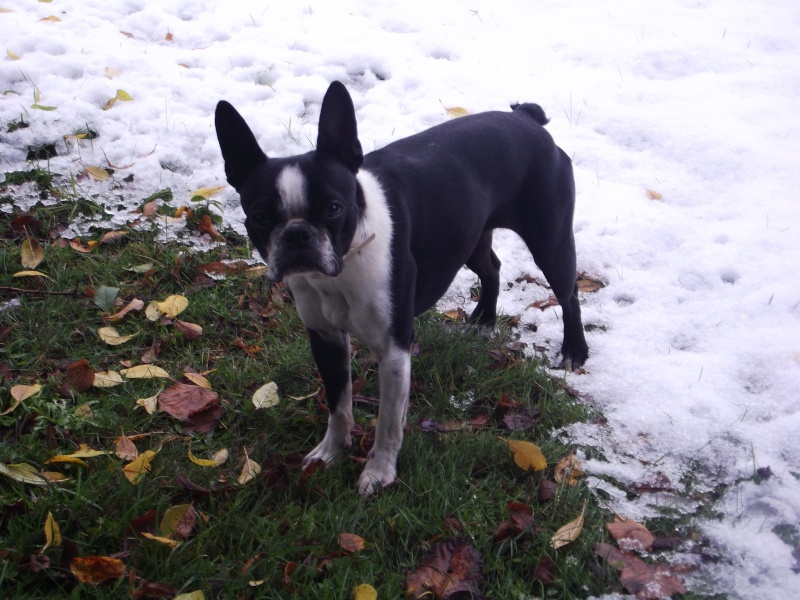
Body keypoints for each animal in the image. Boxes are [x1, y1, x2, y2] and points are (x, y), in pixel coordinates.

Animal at [214, 82, 588, 494]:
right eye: (261, 217)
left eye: (333, 208)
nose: (297, 233)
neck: (342, 267)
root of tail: (525, 118)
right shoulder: (325, 338)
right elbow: (338, 402)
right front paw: (331, 452)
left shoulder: (393, 350)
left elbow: (388, 423)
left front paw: (378, 474)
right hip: (470, 236)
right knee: (491, 269)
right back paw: (483, 322)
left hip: (549, 238)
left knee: (568, 293)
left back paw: (574, 351)